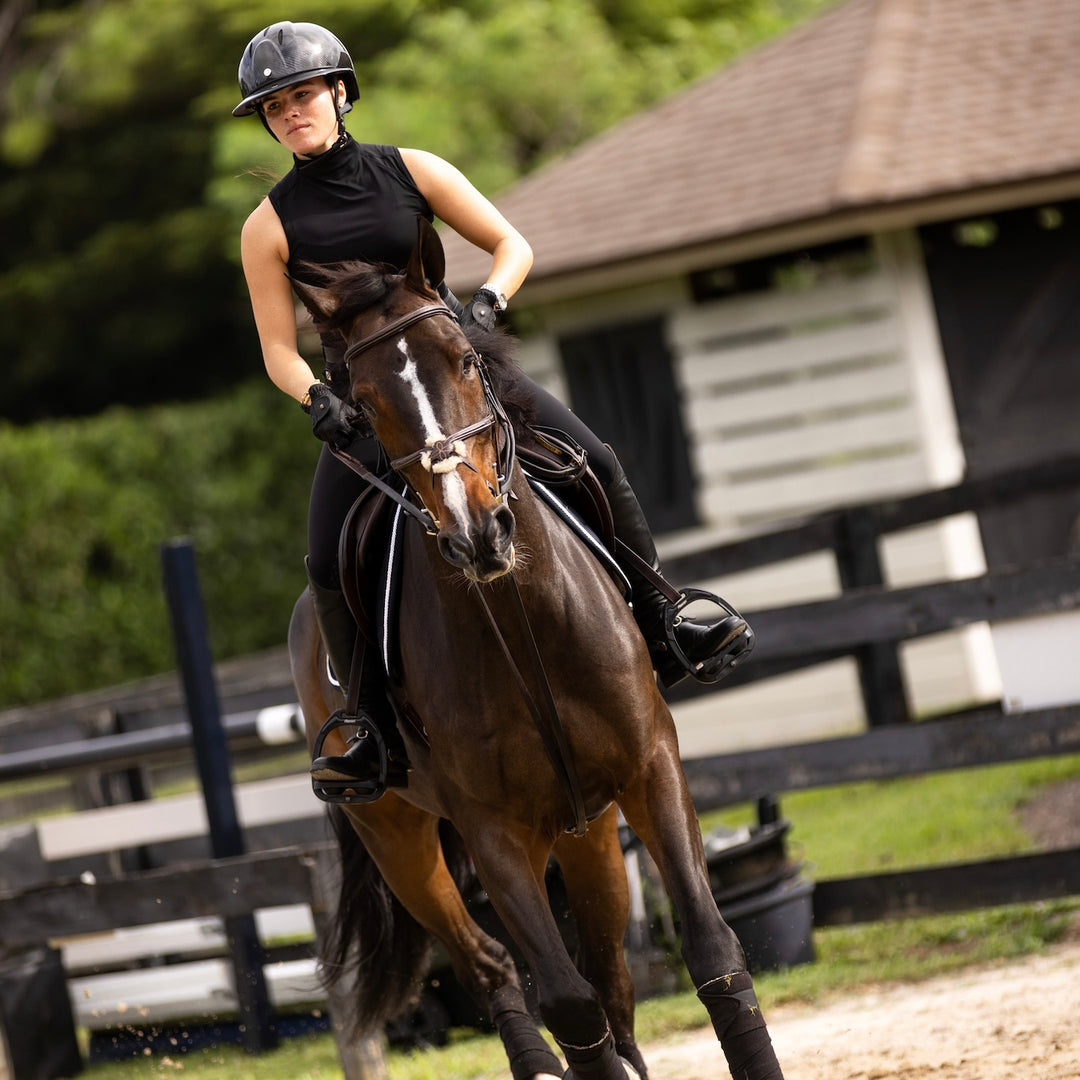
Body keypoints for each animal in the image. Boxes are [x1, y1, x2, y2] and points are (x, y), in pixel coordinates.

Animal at [287, 219, 786, 1080]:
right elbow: (566, 1002)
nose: (476, 532)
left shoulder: (648, 765)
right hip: (399, 837)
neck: (522, 624)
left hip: (586, 829)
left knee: (611, 971)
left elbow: (710, 949)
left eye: (466, 358)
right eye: (365, 401)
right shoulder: (491, 830)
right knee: (491, 968)